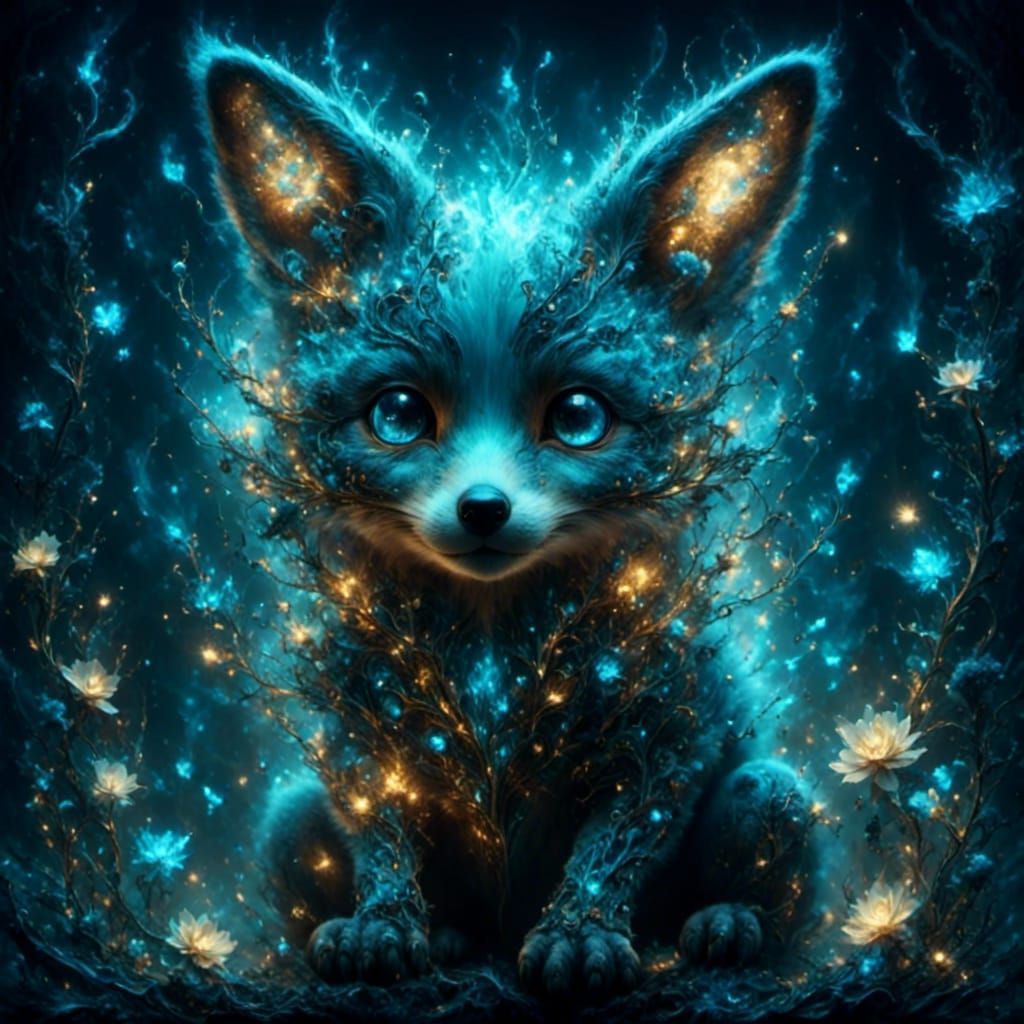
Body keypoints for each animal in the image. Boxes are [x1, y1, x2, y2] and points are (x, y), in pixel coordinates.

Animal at [190, 36, 829, 998]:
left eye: (578, 417)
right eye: (398, 415)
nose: (483, 508)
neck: (494, 648)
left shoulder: (673, 721)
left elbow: (619, 837)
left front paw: (582, 934)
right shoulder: (357, 732)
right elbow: (380, 833)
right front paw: (384, 926)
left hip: (774, 791)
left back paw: (726, 923)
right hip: (286, 819)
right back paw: (454, 935)